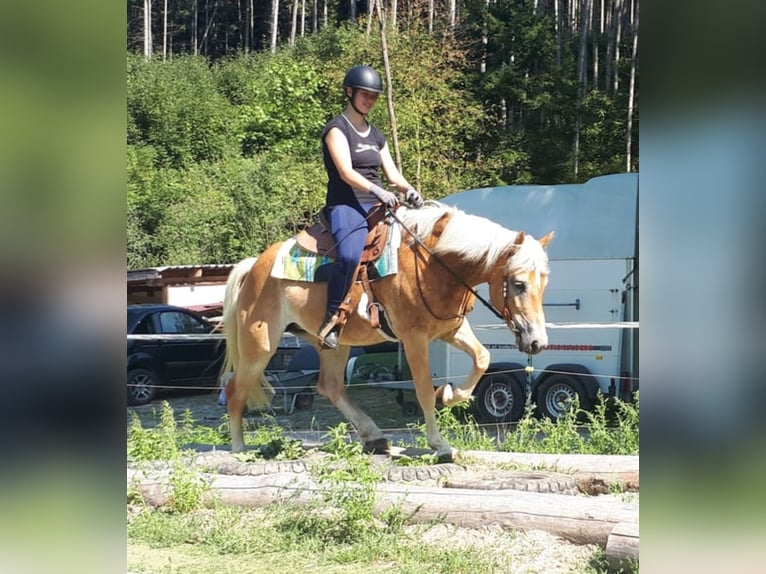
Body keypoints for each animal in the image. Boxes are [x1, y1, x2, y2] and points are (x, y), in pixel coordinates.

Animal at [220, 202, 552, 464]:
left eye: (544, 282)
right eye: (519, 284)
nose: (537, 342)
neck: (433, 264)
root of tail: (255, 265)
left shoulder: (451, 329)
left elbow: (482, 358)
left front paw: (449, 394)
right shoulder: (414, 338)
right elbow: (423, 391)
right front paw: (441, 444)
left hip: (332, 342)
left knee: (331, 386)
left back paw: (374, 436)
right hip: (260, 344)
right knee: (235, 389)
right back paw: (238, 448)